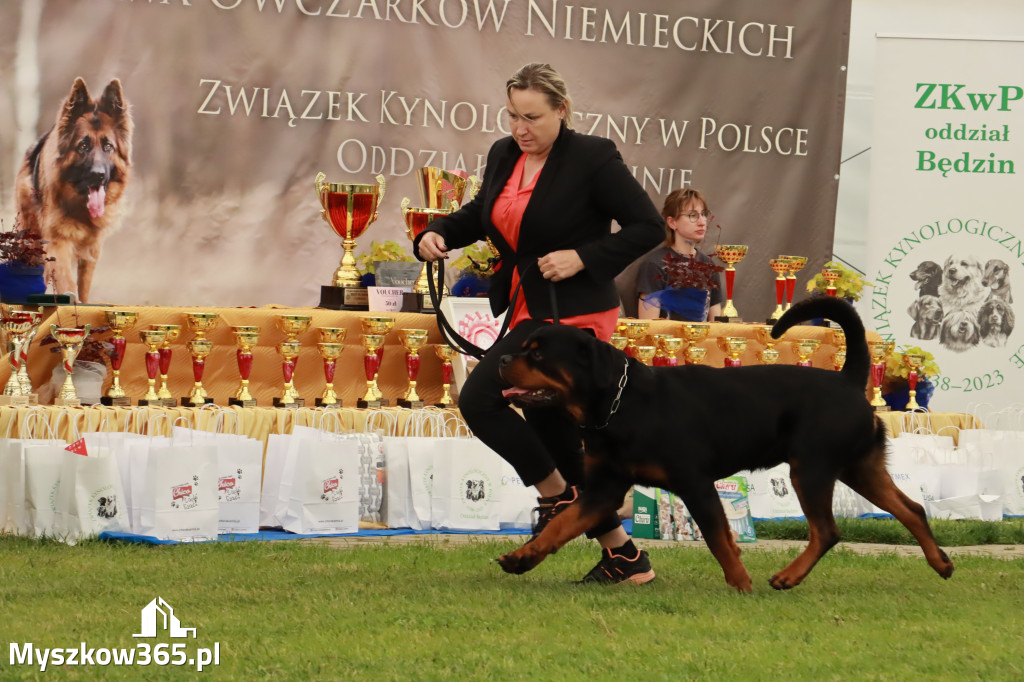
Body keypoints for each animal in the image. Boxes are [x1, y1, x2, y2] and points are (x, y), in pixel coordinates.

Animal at [495, 296, 950, 589]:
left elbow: (718, 537)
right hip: (860, 468)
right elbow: (562, 524)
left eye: (537, 355)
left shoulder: (694, 483)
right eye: (524, 348)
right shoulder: (603, 490)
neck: (619, 406)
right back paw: (941, 562)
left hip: (812, 468)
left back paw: (787, 577)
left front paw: (741, 584)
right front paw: (522, 558)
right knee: (911, 509)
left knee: (827, 530)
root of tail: (849, 379)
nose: (500, 359)